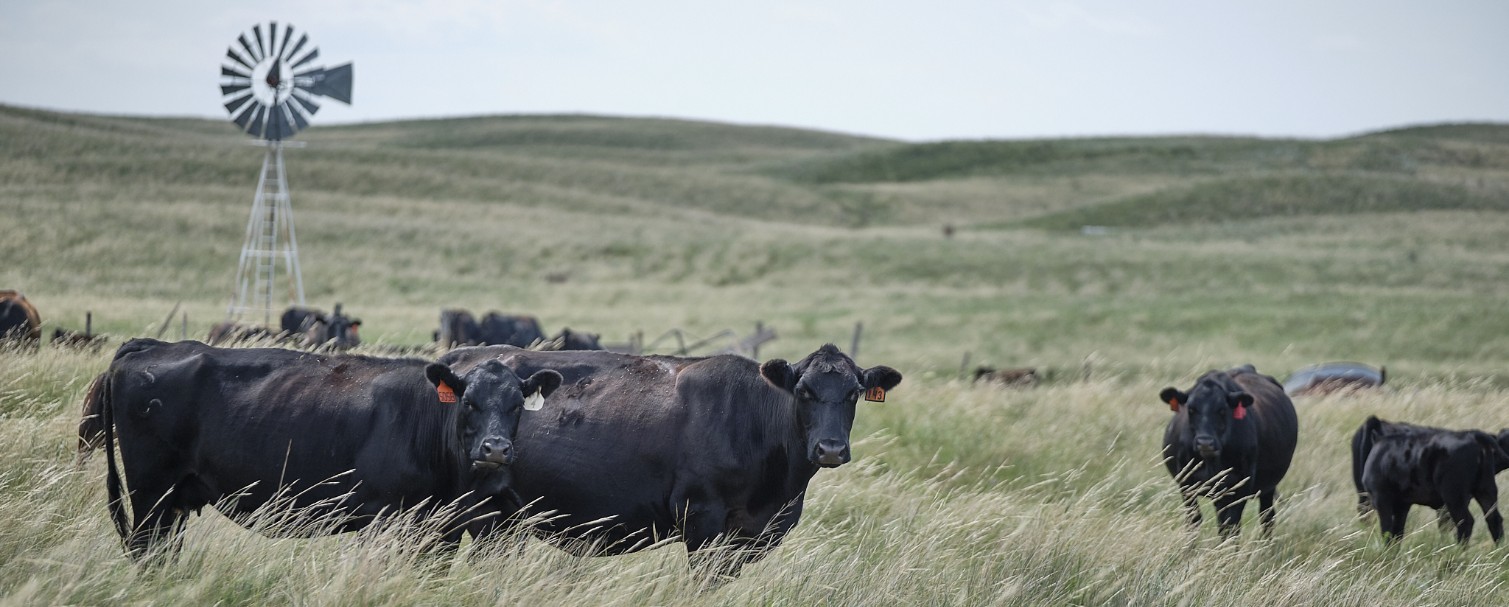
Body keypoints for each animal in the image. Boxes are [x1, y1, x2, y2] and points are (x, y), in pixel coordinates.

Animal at [89, 336, 561, 558]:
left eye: (518, 405)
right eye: (468, 402)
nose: (495, 449)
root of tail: (152, 345)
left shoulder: (439, 526)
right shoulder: (386, 517)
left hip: (175, 501)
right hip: (150, 493)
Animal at [1158, 362, 1303, 537]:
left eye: (1222, 410)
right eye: (1191, 409)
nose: (1205, 443)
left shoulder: (1241, 485)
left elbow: (1232, 526)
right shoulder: (1186, 483)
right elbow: (1194, 521)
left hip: (1268, 486)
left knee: (1266, 516)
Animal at [1358, 416, 1509, 546]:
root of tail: (1473, 436)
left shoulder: (1381, 499)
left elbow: (1387, 530)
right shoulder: (1402, 504)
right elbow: (1397, 532)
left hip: (1454, 495)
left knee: (1465, 522)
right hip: (1485, 490)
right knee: (1494, 519)